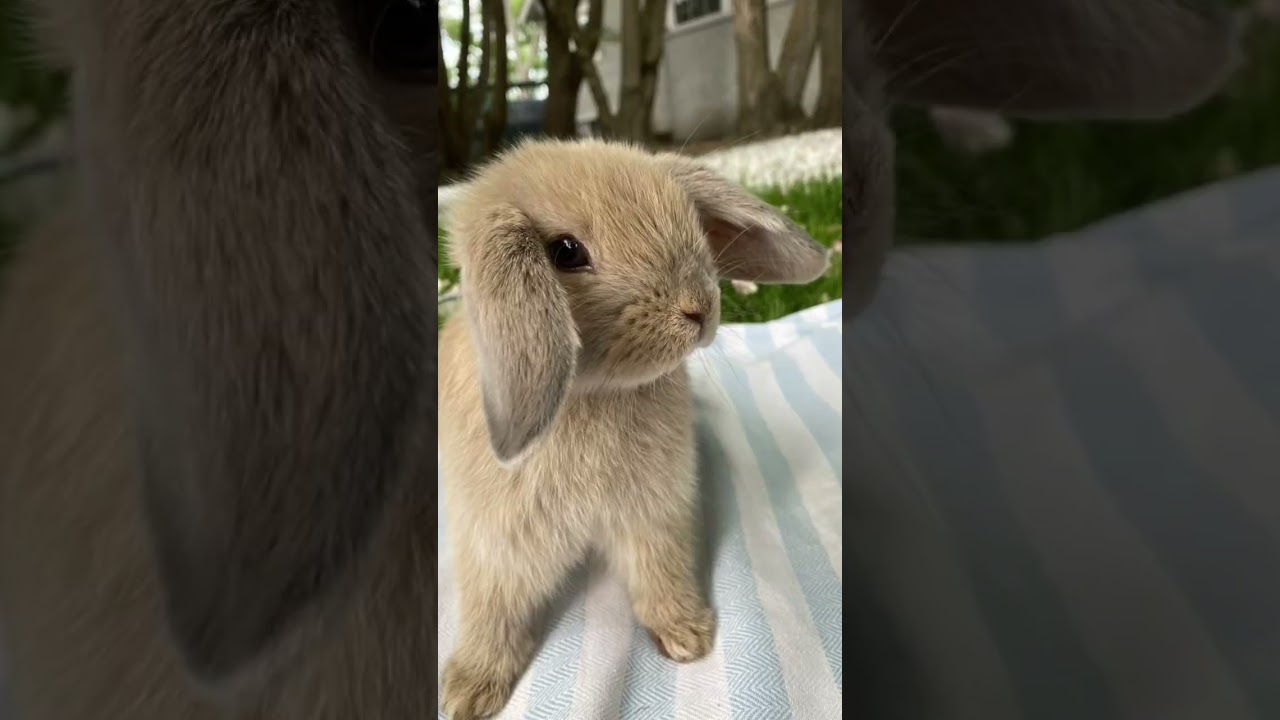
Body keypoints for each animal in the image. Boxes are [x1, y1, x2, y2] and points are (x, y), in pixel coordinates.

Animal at [435, 139, 831, 718]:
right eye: (566, 252)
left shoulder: (654, 516)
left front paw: (688, 637)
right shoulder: (498, 542)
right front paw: (468, 692)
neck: (593, 395)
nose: (700, 308)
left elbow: (660, 572)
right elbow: (494, 609)